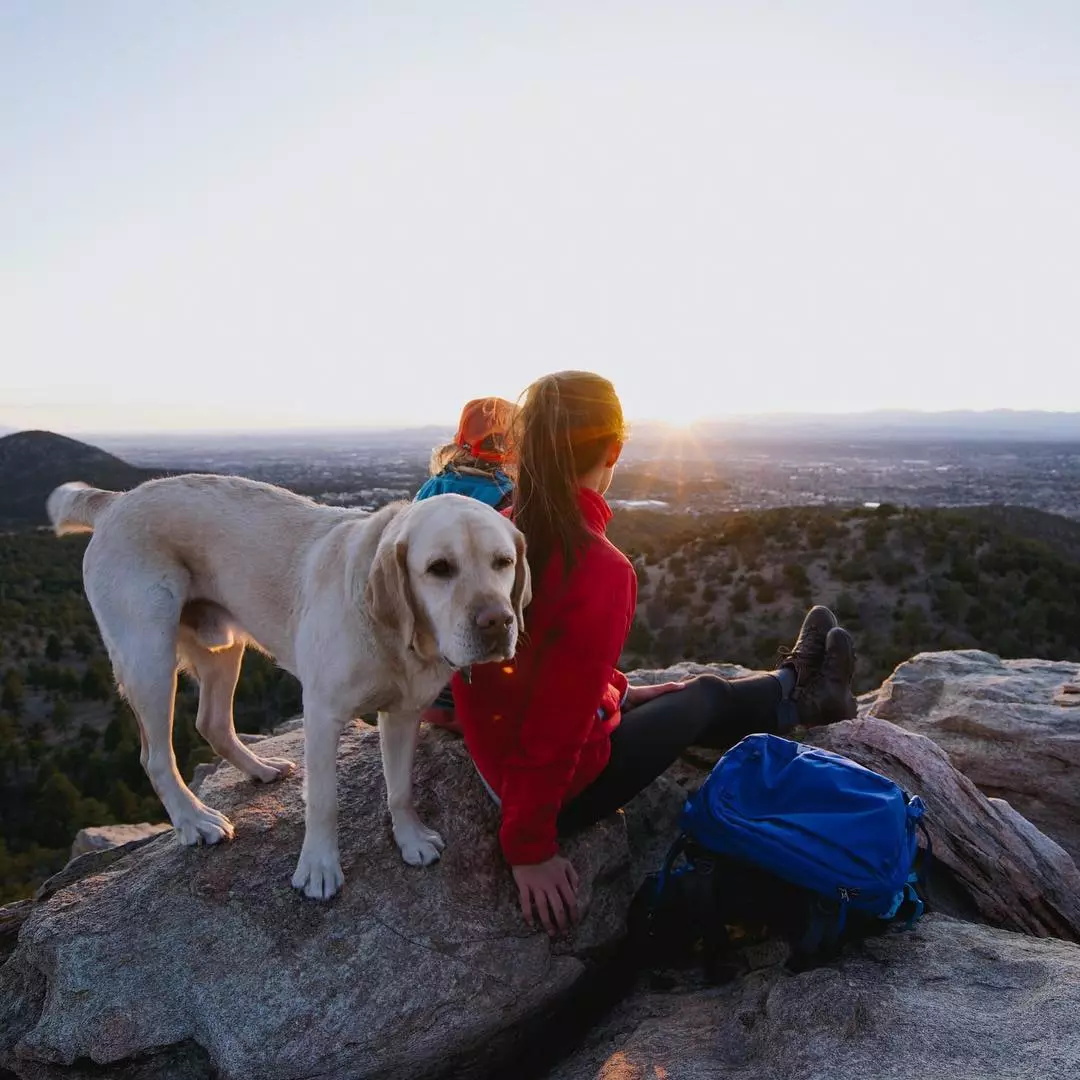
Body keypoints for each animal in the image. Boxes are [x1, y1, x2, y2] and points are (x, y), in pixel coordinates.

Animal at [48, 473, 529, 894]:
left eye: (503, 562)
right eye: (439, 568)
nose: (497, 622)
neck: (395, 636)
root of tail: (115, 501)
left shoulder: (403, 714)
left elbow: (401, 788)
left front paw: (410, 838)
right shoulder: (321, 715)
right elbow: (323, 800)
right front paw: (318, 868)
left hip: (222, 647)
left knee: (212, 723)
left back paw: (260, 768)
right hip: (150, 656)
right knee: (155, 756)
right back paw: (194, 819)